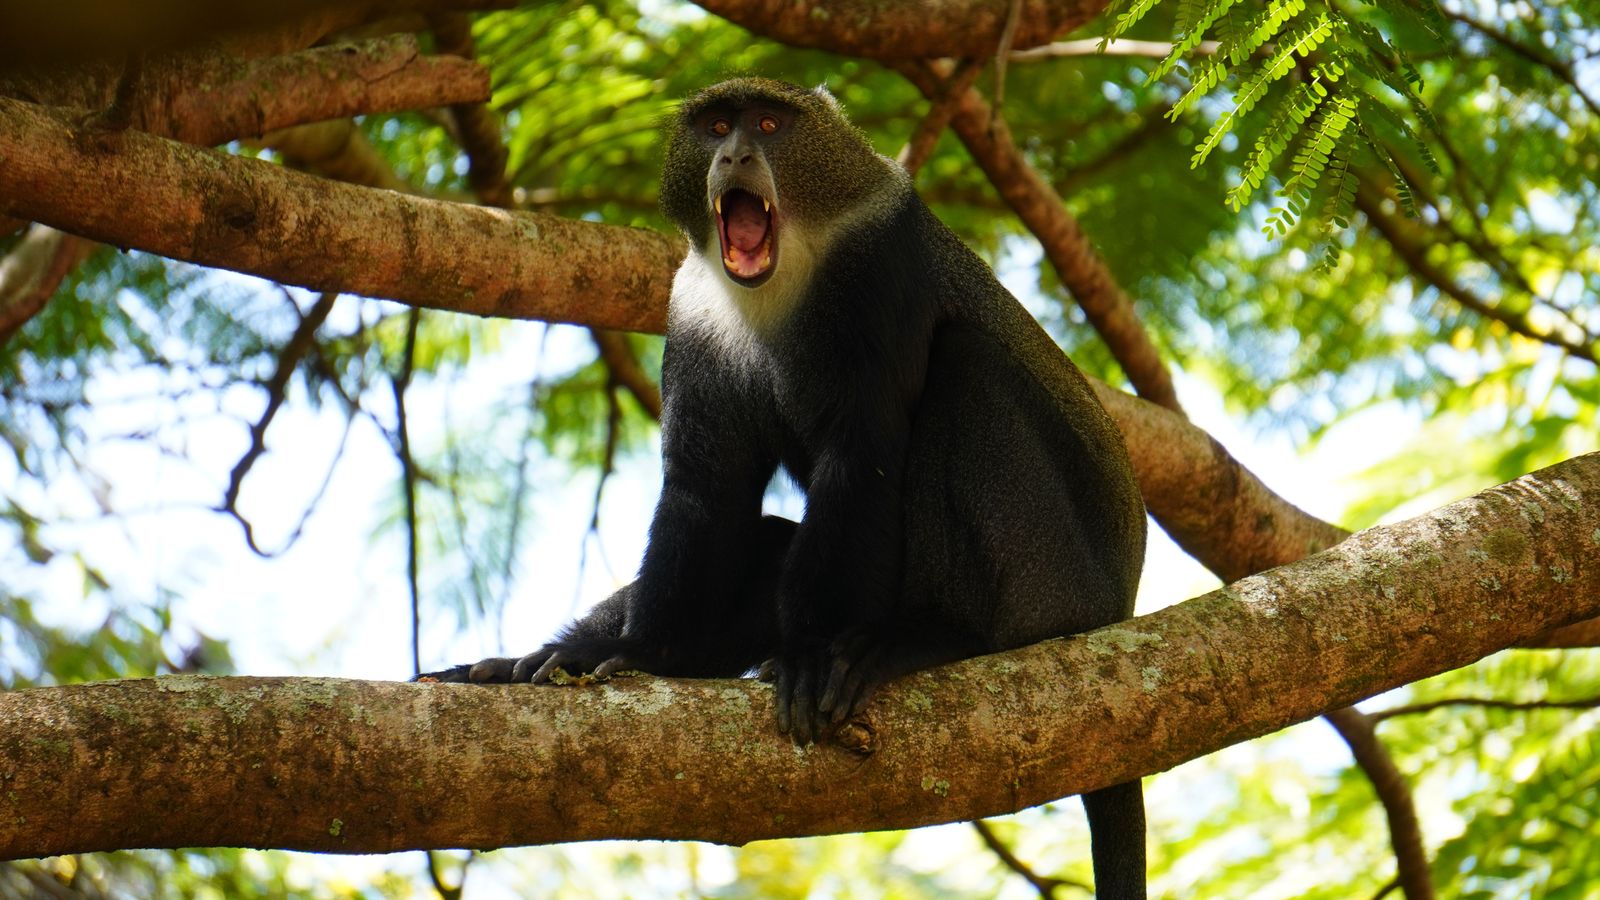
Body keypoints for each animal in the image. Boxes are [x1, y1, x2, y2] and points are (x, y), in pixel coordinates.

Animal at [422, 78, 1148, 898]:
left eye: (768, 124)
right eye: (715, 128)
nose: (737, 156)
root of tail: (1117, 605)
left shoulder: (879, 270)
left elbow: (858, 456)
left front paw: (810, 658)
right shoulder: (695, 311)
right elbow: (706, 491)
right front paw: (637, 652)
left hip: (1051, 582)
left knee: (968, 367)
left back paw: (927, 636)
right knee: (769, 543)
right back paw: (534, 665)